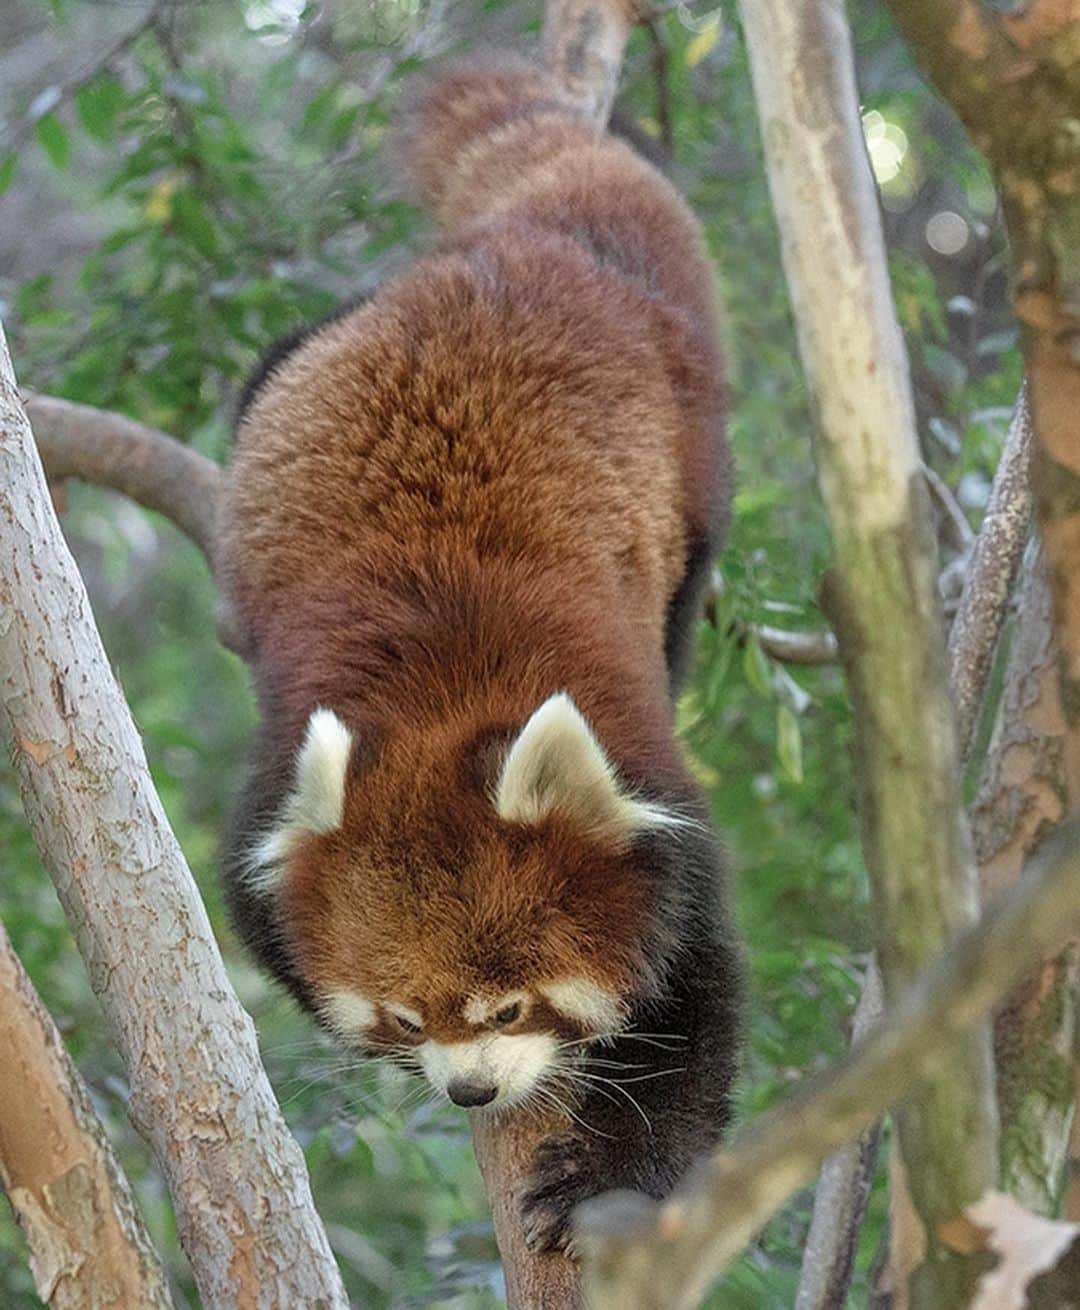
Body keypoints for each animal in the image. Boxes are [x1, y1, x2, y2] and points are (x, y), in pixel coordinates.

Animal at [218, 56, 744, 1252]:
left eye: (511, 1005)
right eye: (406, 1014)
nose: (469, 1091)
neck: (440, 703)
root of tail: (539, 232)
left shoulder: (647, 794)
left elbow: (688, 1004)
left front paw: (607, 1172)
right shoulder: (269, 788)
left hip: (694, 450)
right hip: (319, 349)